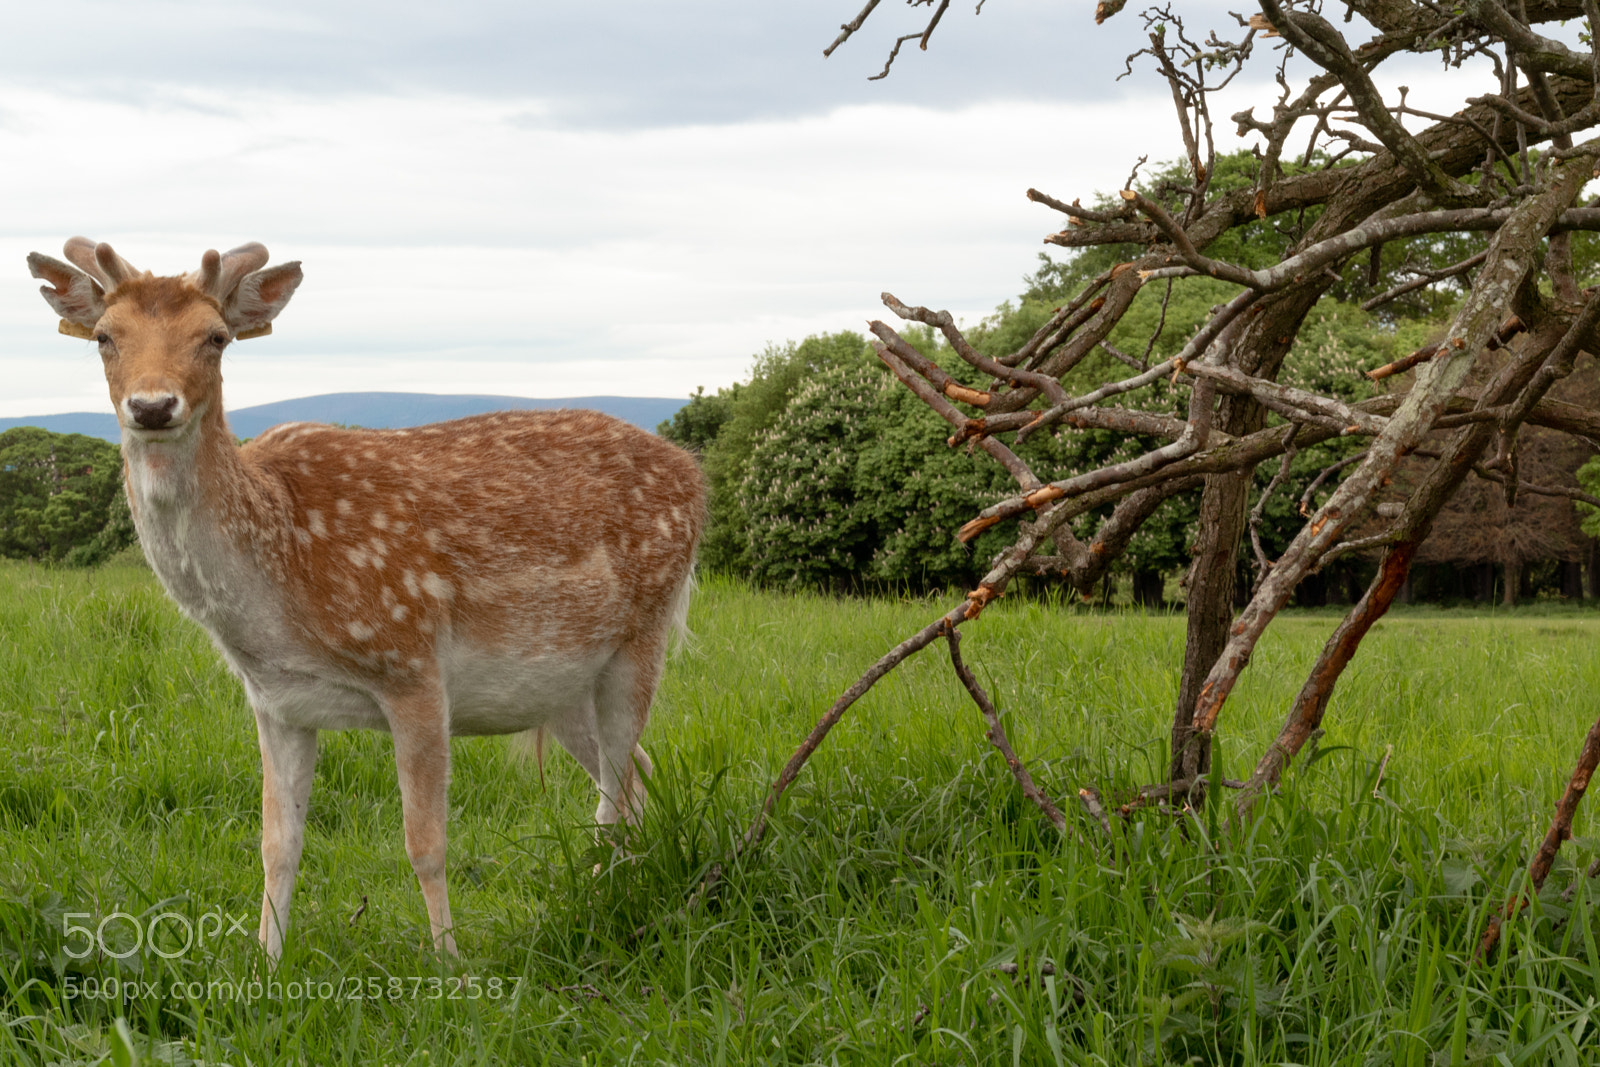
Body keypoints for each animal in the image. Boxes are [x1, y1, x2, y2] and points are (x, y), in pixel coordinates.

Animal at [27, 238, 705, 961]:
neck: (278, 589)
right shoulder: (276, 702)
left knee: (618, 788)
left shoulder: (411, 661)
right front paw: (264, 963)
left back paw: (608, 906)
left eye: (215, 337)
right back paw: (615, 896)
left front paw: (449, 964)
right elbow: (277, 844)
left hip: (644, 630)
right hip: (562, 685)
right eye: (105, 336)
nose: (153, 405)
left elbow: (425, 843)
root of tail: (696, 474)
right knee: (634, 771)